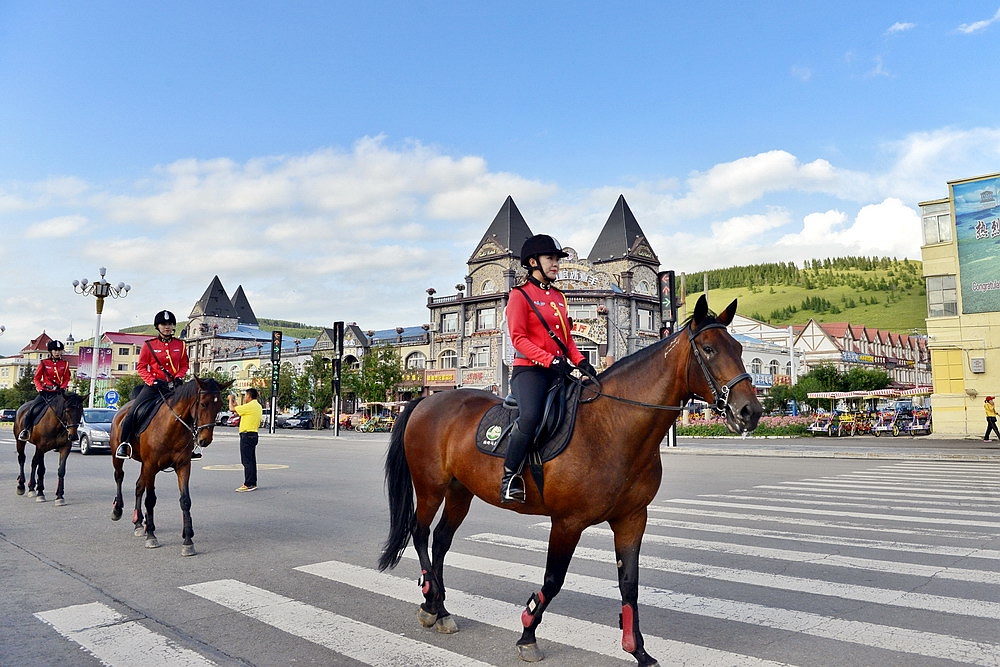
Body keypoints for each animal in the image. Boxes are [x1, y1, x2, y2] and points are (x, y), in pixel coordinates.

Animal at [110, 378, 231, 556]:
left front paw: (188, 540)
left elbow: (185, 501)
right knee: (119, 477)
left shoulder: (183, 466)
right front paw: (151, 536)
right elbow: (150, 500)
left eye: (220, 404)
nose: (205, 440)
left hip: (144, 466)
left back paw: (138, 523)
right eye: (203, 404)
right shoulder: (151, 466)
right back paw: (118, 510)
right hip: (119, 457)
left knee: (139, 486)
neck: (172, 427)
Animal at [378, 298, 760, 667]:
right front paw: (527, 634)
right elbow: (553, 579)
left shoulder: (632, 519)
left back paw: (438, 608)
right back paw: (431, 597)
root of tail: (426, 401)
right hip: (430, 487)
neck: (612, 426)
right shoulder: (567, 523)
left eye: (740, 349)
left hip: (461, 490)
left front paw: (637, 649)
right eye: (708, 349)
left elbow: (629, 583)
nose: (750, 411)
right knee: (420, 533)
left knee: (442, 540)